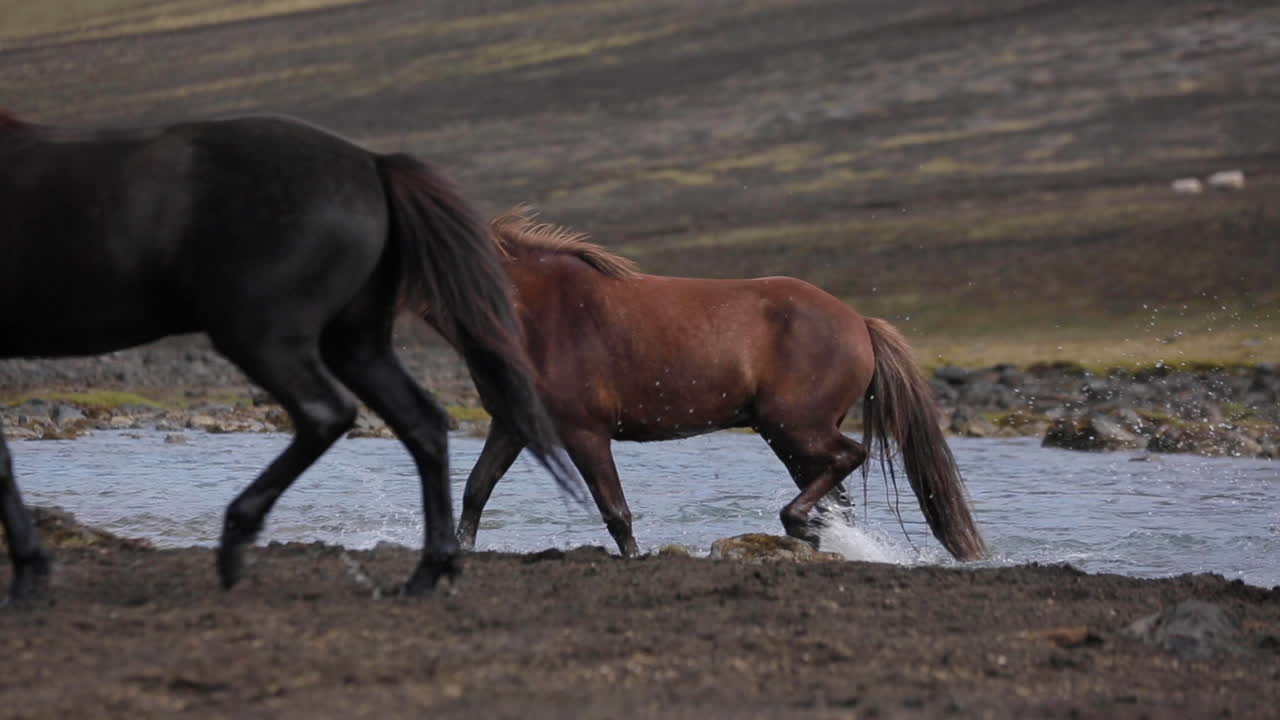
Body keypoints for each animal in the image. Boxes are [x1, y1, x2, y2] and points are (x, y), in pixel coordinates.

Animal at [0, 111, 575, 603]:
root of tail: (372, 163)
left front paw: (28, 574)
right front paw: (31, 569)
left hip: (263, 335)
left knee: (327, 413)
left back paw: (237, 540)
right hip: (354, 342)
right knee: (422, 422)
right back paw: (428, 573)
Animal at [455, 208, 987, 561]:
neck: (540, 312)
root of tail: (859, 322)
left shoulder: (585, 432)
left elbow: (614, 510)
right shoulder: (511, 425)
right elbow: (476, 489)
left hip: (795, 426)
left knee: (850, 456)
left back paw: (800, 525)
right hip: (790, 436)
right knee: (838, 494)